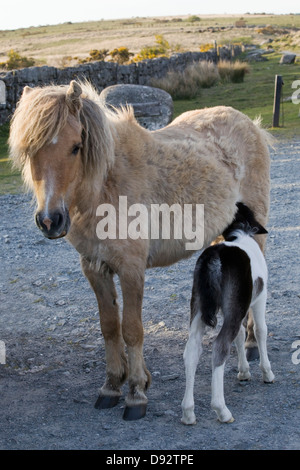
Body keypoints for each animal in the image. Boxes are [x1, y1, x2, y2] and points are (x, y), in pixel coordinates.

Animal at [180, 202, 274, 426]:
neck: (241, 232)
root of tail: (214, 259)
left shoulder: (236, 308)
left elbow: (240, 335)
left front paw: (244, 371)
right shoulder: (260, 297)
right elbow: (260, 330)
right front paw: (267, 372)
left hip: (200, 305)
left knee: (192, 349)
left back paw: (188, 412)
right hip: (235, 304)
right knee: (220, 345)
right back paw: (221, 410)